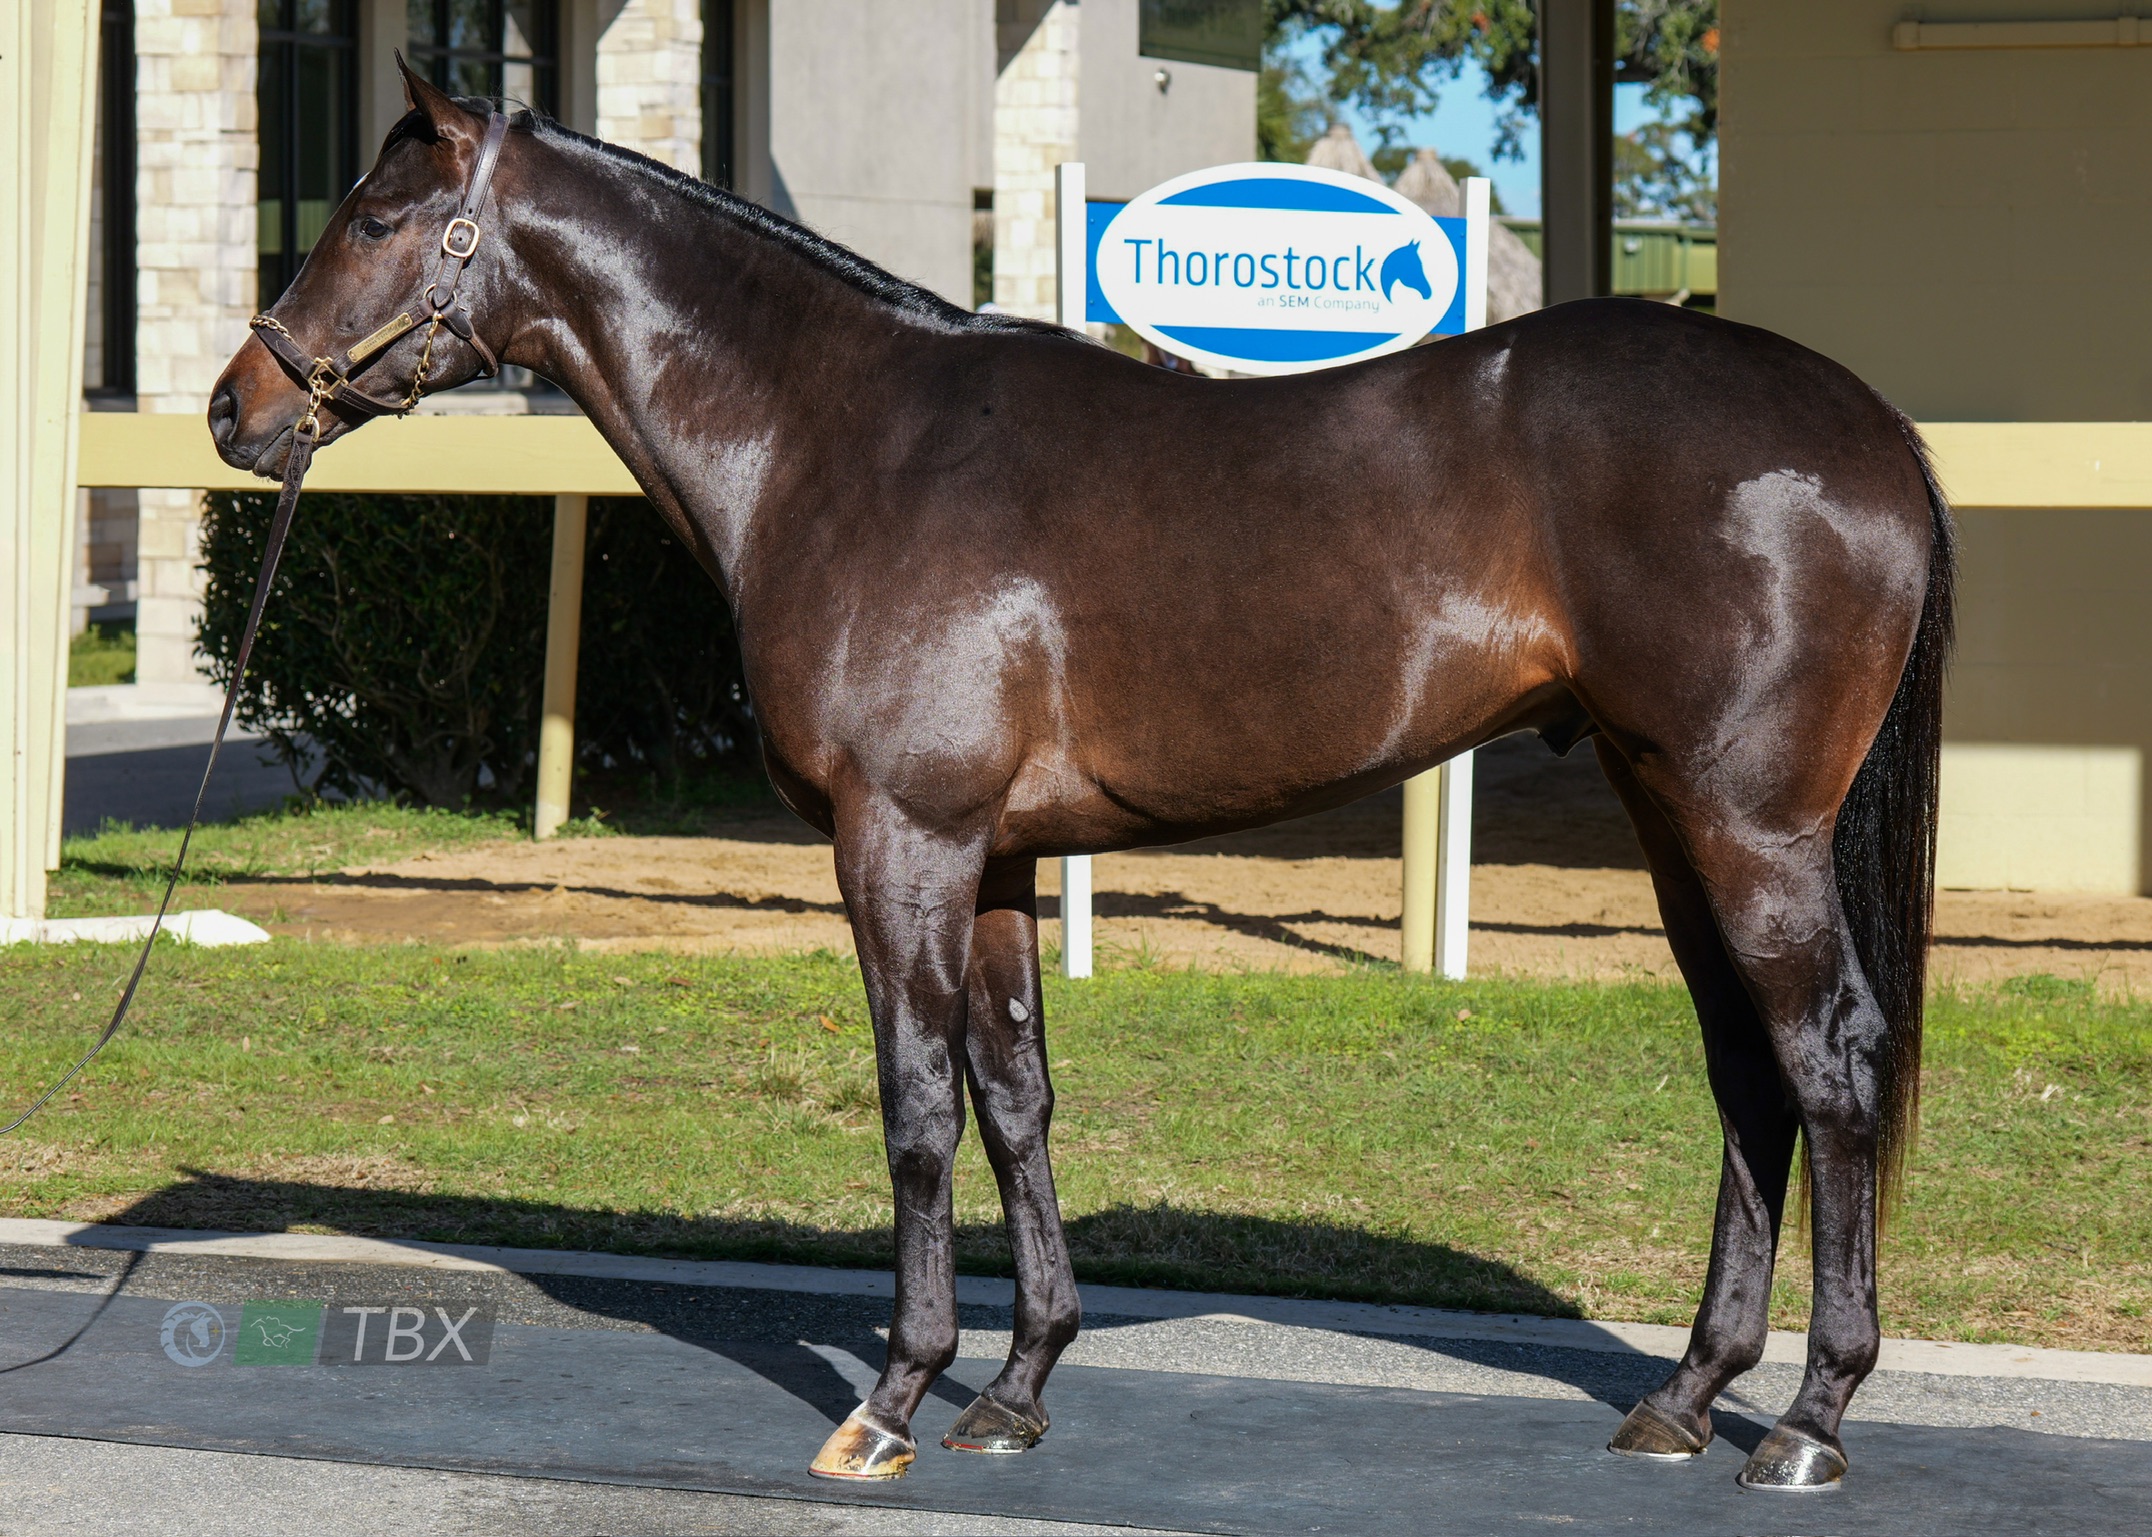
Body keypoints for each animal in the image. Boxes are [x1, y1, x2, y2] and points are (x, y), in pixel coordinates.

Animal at [210, 63, 1952, 1494]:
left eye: (373, 218)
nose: (242, 404)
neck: (839, 441)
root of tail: (1873, 430)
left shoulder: (899, 841)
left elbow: (918, 1106)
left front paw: (893, 1401)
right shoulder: (989, 856)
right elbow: (1015, 1095)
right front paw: (1016, 1385)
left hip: (1750, 828)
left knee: (1833, 1062)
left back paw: (1807, 1423)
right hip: (1671, 813)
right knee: (1748, 1077)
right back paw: (1684, 1398)